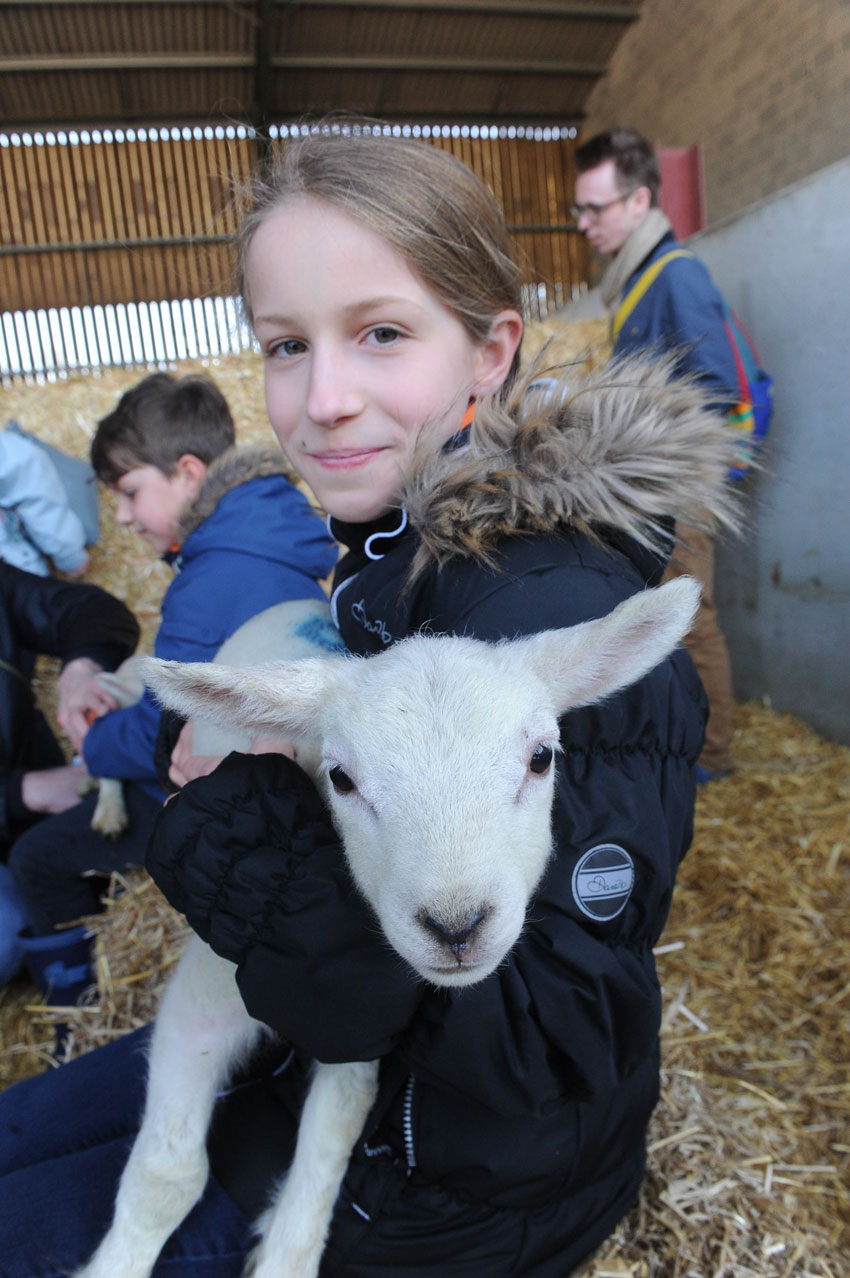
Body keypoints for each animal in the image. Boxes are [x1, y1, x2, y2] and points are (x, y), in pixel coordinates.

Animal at [74, 577, 695, 1278]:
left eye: (541, 758)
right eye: (341, 778)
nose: (456, 926)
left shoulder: (359, 1030)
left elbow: (324, 1162)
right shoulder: (207, 989)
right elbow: (167, 1176)